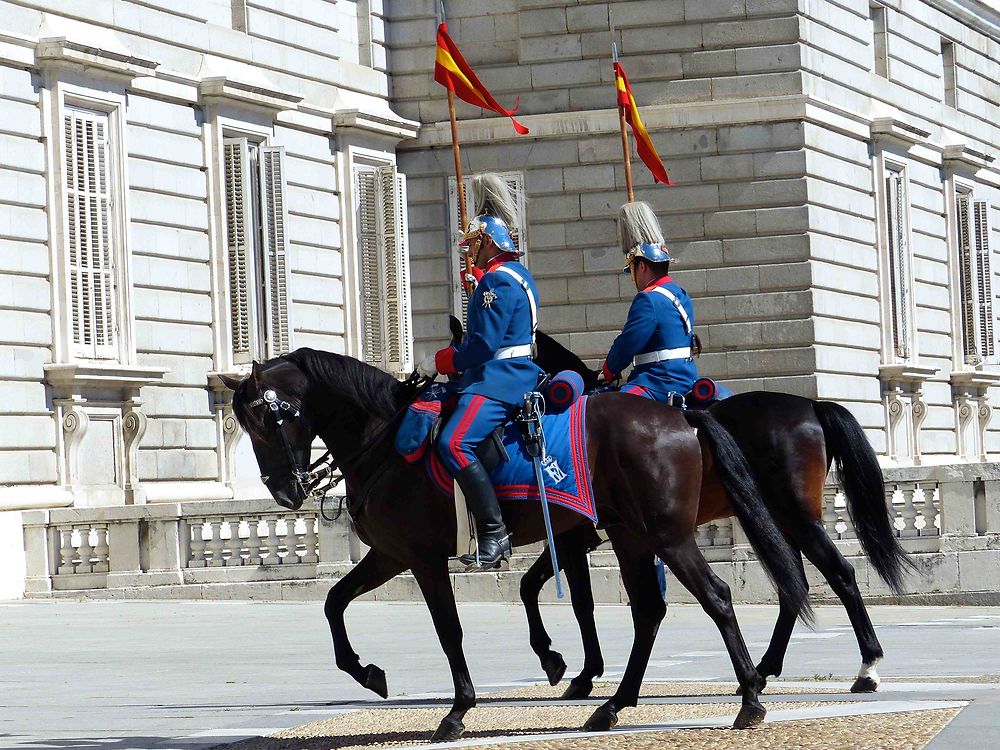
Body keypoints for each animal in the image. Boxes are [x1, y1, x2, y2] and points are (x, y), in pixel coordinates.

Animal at [221, 352, 812, 740]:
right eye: (245, 422)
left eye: (268, 418)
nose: (283, 491)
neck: (383, 439)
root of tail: (680, 415)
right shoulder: (389, 555)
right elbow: (333, 602)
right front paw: (368, 673)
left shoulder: (423, 559)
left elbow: (449, 631)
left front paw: (458, 711)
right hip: (631, 536)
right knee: (648, 611)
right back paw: (614, 706)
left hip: (666, 535)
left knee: (716, 597)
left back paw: (750, 697)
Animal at [520, 332, 912, 704]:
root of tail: (812, 405)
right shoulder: (580, 537)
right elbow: (536, 587)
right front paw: (568, 665)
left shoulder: (572, 537)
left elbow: (575, 602)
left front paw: (577, 671)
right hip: (776, 523)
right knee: (794, 586)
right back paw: (763, 670)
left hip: (798, 519)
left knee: (840, 575)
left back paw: (866, 667)